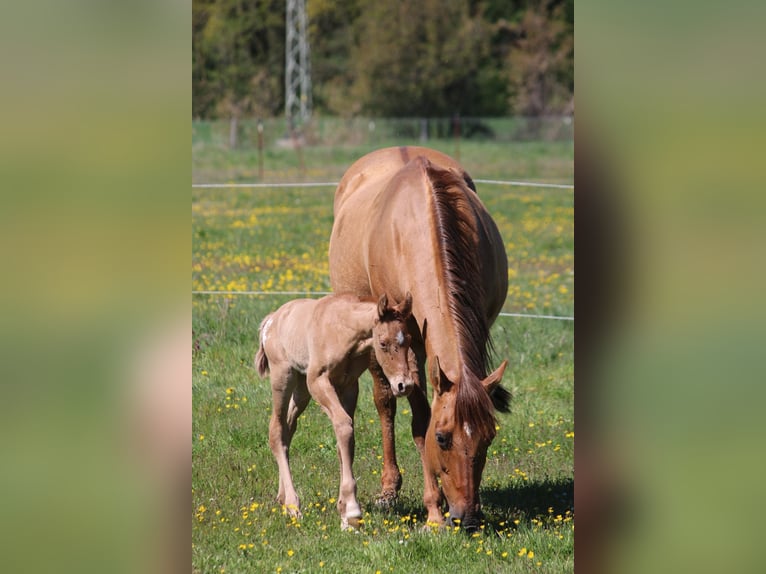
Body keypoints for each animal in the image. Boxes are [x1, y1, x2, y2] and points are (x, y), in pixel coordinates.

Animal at [255, 292, 414, 529]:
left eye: (409, 340)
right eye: (383, 343)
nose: (405, 385)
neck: (343, 329)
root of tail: (271, 319)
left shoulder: (348, 386)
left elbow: (344, 441)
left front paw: (344, 514)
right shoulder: (318, 381)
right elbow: (344, 426)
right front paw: (352, 511)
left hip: (301, 387)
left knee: (287, 429)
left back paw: (283, 499)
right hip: (283, 377)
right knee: (276, 430)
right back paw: (293, 505)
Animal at [329, 146, 511, 531]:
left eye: (489, 437)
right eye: (442, 438)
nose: (467, 517)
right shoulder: (403, 345)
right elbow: (420, 421)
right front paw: (433, 510)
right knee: (386, 403)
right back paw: (389, 489)